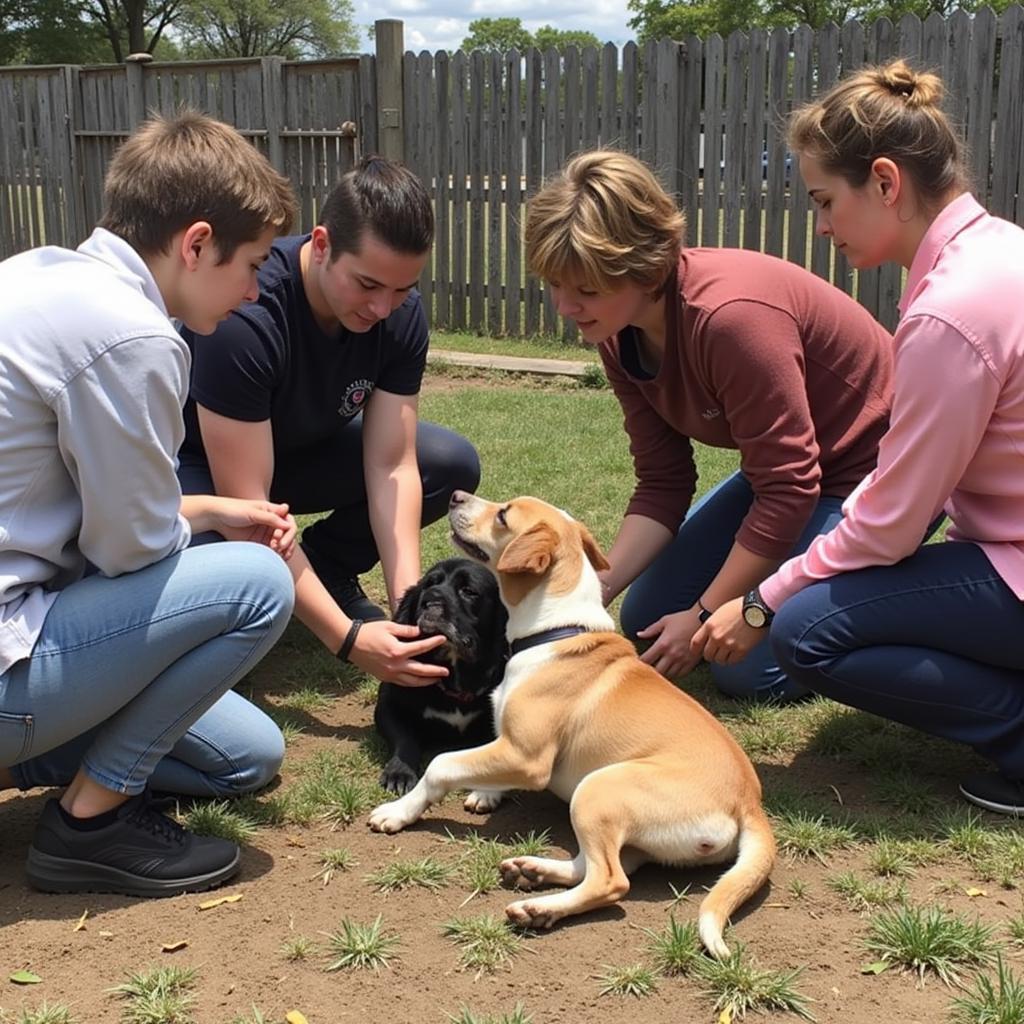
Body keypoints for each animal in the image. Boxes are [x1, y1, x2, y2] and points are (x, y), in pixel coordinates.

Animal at [372, 561, 507, 790]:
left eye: (468, 591)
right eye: (428, 584)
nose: (430, 598)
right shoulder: (388, 706)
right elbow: (405, 738)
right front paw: (399, 771)